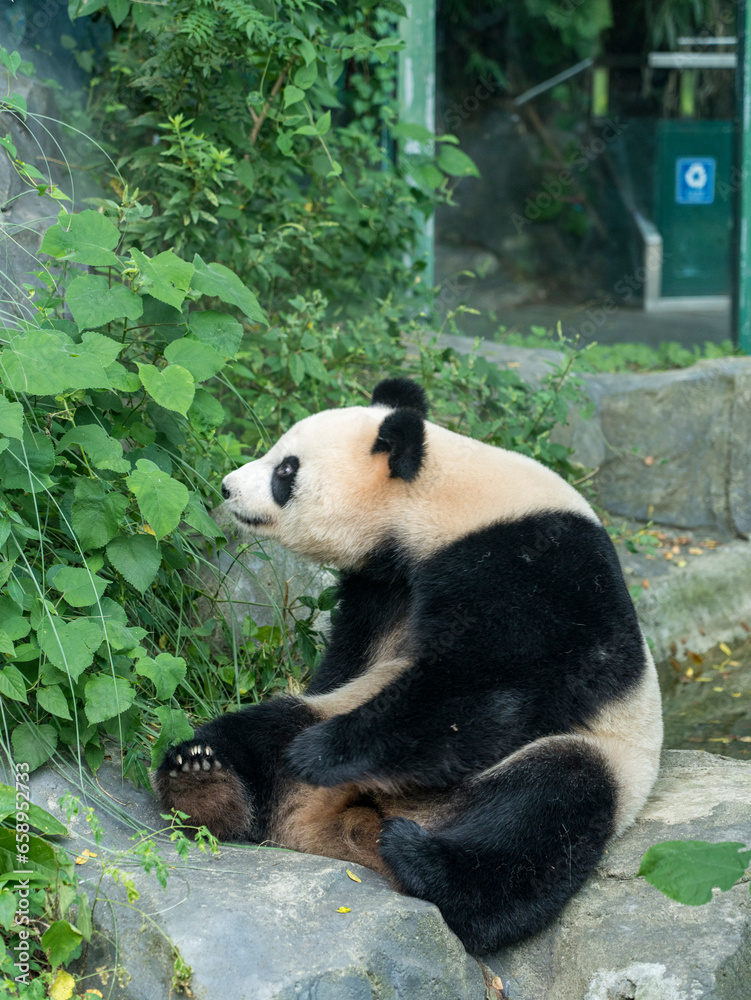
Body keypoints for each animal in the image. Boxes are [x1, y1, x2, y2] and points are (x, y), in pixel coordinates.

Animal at [153, 377, 663, 955]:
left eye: (286, 469)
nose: (226, 487)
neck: (439, 499)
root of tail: (346, 826)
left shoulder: (539, 568)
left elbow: (490, 690)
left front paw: (322, 753)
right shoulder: (382, 588)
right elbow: (351, 664)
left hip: (602, 757)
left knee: (547, 810)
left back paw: (419, 858)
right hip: (317, 716)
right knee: (264, 728)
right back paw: (202, 779)